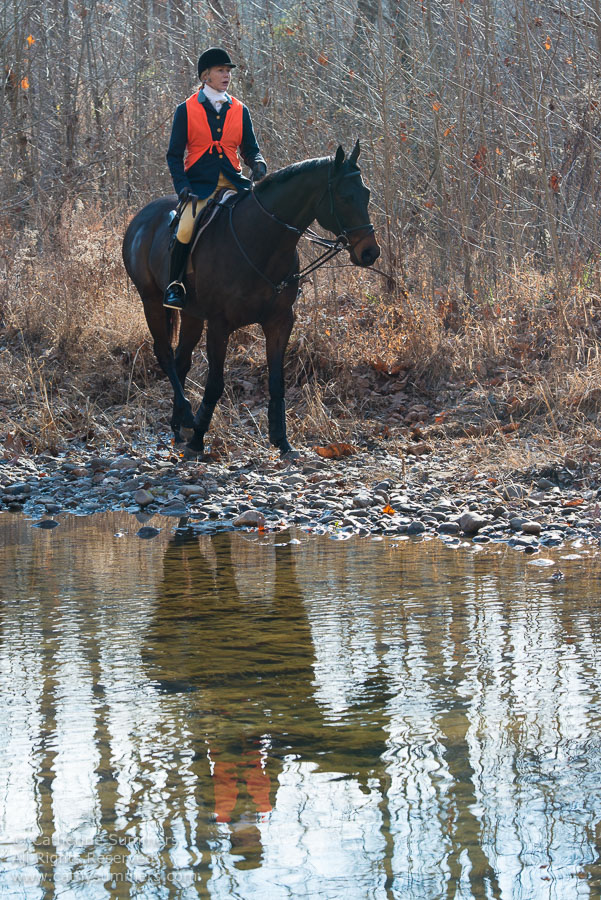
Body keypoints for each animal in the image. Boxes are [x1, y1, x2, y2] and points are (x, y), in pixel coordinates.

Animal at [122, 145, 380, 460]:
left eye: (366, 193)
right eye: (344, 197)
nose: (370, 252)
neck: (262, 240)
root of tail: (141, 217)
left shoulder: (280, 322)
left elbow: (277, 382)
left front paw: (282, 441)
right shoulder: (219, 325)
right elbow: (215, 384)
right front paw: (199, 440)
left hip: (192, 314)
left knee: (182, 359)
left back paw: (179, 427)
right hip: (151, 301)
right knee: (165, 354)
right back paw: (188, 418)